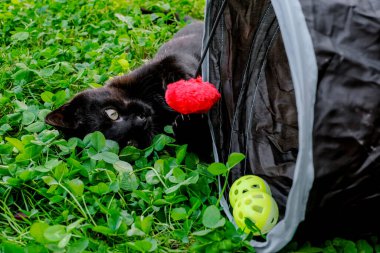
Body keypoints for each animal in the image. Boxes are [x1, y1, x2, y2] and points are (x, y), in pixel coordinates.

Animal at [45, 21, 211, 159]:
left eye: (112, 113)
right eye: (131, 143)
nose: (142, 119)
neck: (156, 107)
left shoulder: (166, 60)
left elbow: (176, 62)